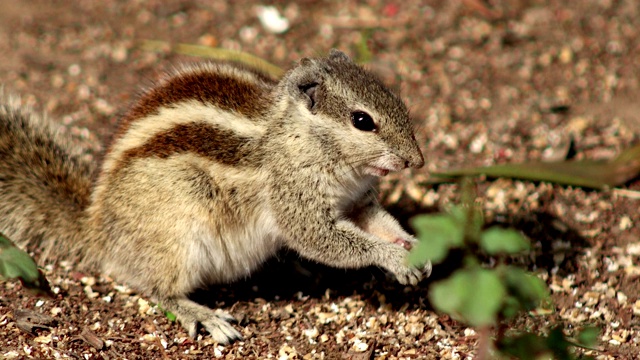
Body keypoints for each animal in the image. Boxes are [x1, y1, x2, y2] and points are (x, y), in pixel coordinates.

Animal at [1, 49, 430, 344]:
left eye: (394, 96)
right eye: (362, 121)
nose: (417, 160)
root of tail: (95, 227)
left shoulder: (356, 201)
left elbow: (378, 223)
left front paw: (412, 248)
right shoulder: (296, 203)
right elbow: (330, 241)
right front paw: (390, 257)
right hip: (177, 235)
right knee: (158, 289)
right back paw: (202, 315)